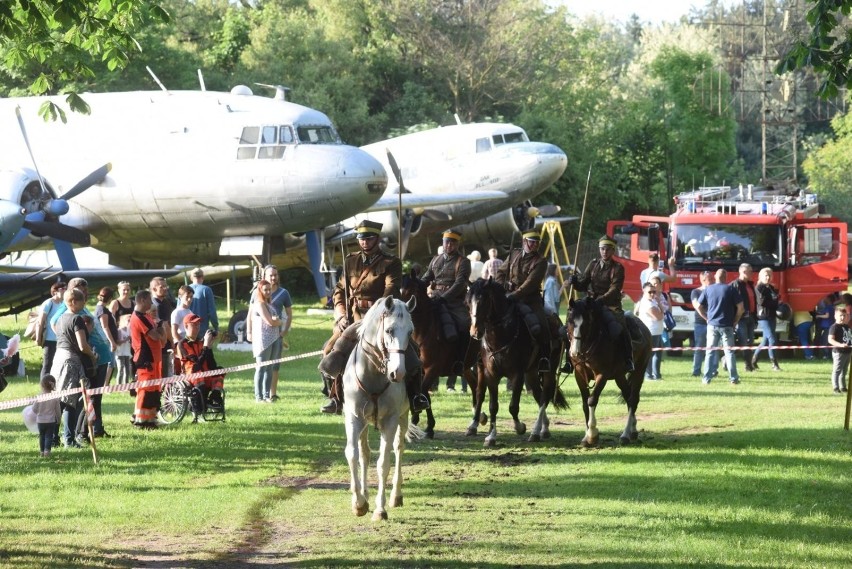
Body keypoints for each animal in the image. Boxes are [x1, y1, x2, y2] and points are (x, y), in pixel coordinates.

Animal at [342, 292, 416, 520]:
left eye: (410, 332)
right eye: (389, 330)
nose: (398, 373)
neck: (372, 373)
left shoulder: (390, 421)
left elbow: (384, 462)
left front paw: (380, 509)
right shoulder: (354, 418)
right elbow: (353, 455)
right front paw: (359, 503)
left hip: (403, 417)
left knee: (398, 449)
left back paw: (396, 496)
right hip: (364, 423)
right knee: (364, 453)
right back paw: (364, 494)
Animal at [400, 272, 480, 438]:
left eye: (411, 291)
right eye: (400, 290)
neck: (424, 331)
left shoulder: (432, 369)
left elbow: (423, 391)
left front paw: (424, 423)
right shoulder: (420, 372)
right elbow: (423, 393)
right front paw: (423, 424)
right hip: (466, 368)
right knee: (474, 384)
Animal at [466, 278, 564, 446]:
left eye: (483, 300)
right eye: (468, 302)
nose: (474, 332)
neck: (501, 335)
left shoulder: (517, 375)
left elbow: (513, 406)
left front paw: (519, 427)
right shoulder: (490, 374)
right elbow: (492, 405)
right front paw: (491, 436)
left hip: (549, 370)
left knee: (545, 396)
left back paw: (536, 432)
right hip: (531, 372)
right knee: (537, 394)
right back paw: (543, 428)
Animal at [564, 296, 652, 446]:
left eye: (586, 323)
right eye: (570, 321)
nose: (574, 352)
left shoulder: (602, 375)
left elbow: (592, 400)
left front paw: (592, 434)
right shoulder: (579, 375)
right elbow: (584, 403)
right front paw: (586, 437)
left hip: (639, 372)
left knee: (633, 399)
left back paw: (625, 435)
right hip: (619, 376)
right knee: (628, 397)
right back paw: (632, 430)